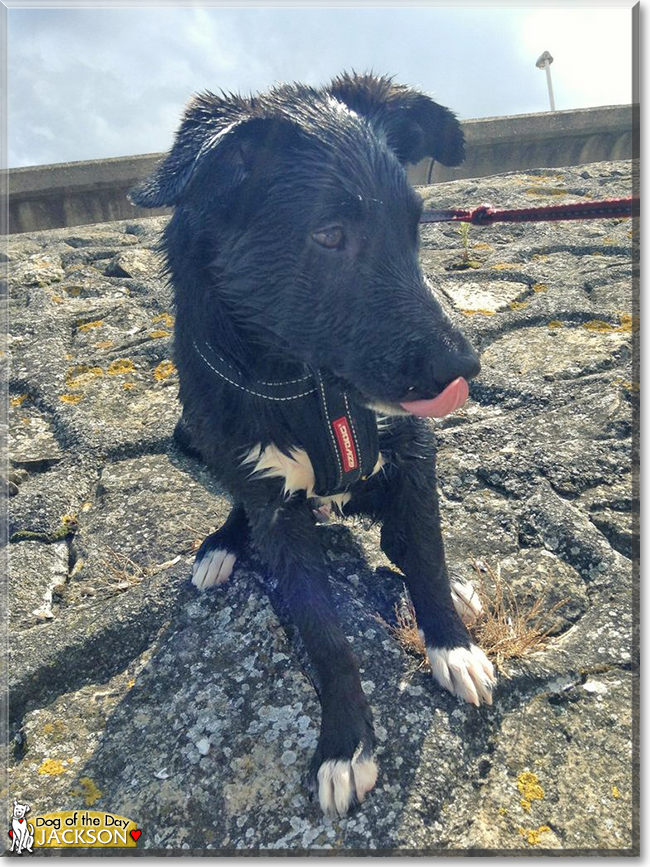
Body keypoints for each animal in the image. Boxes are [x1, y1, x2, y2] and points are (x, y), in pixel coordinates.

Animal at [133, 74, 496, 820]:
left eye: (415, 227)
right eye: (330, 235)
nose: (466, 368)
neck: (304, 382)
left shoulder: (413, 457)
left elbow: (428, 559)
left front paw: (453, 645)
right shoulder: (277, 508)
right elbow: (326, 636)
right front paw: (347, 744)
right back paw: (222, 546)